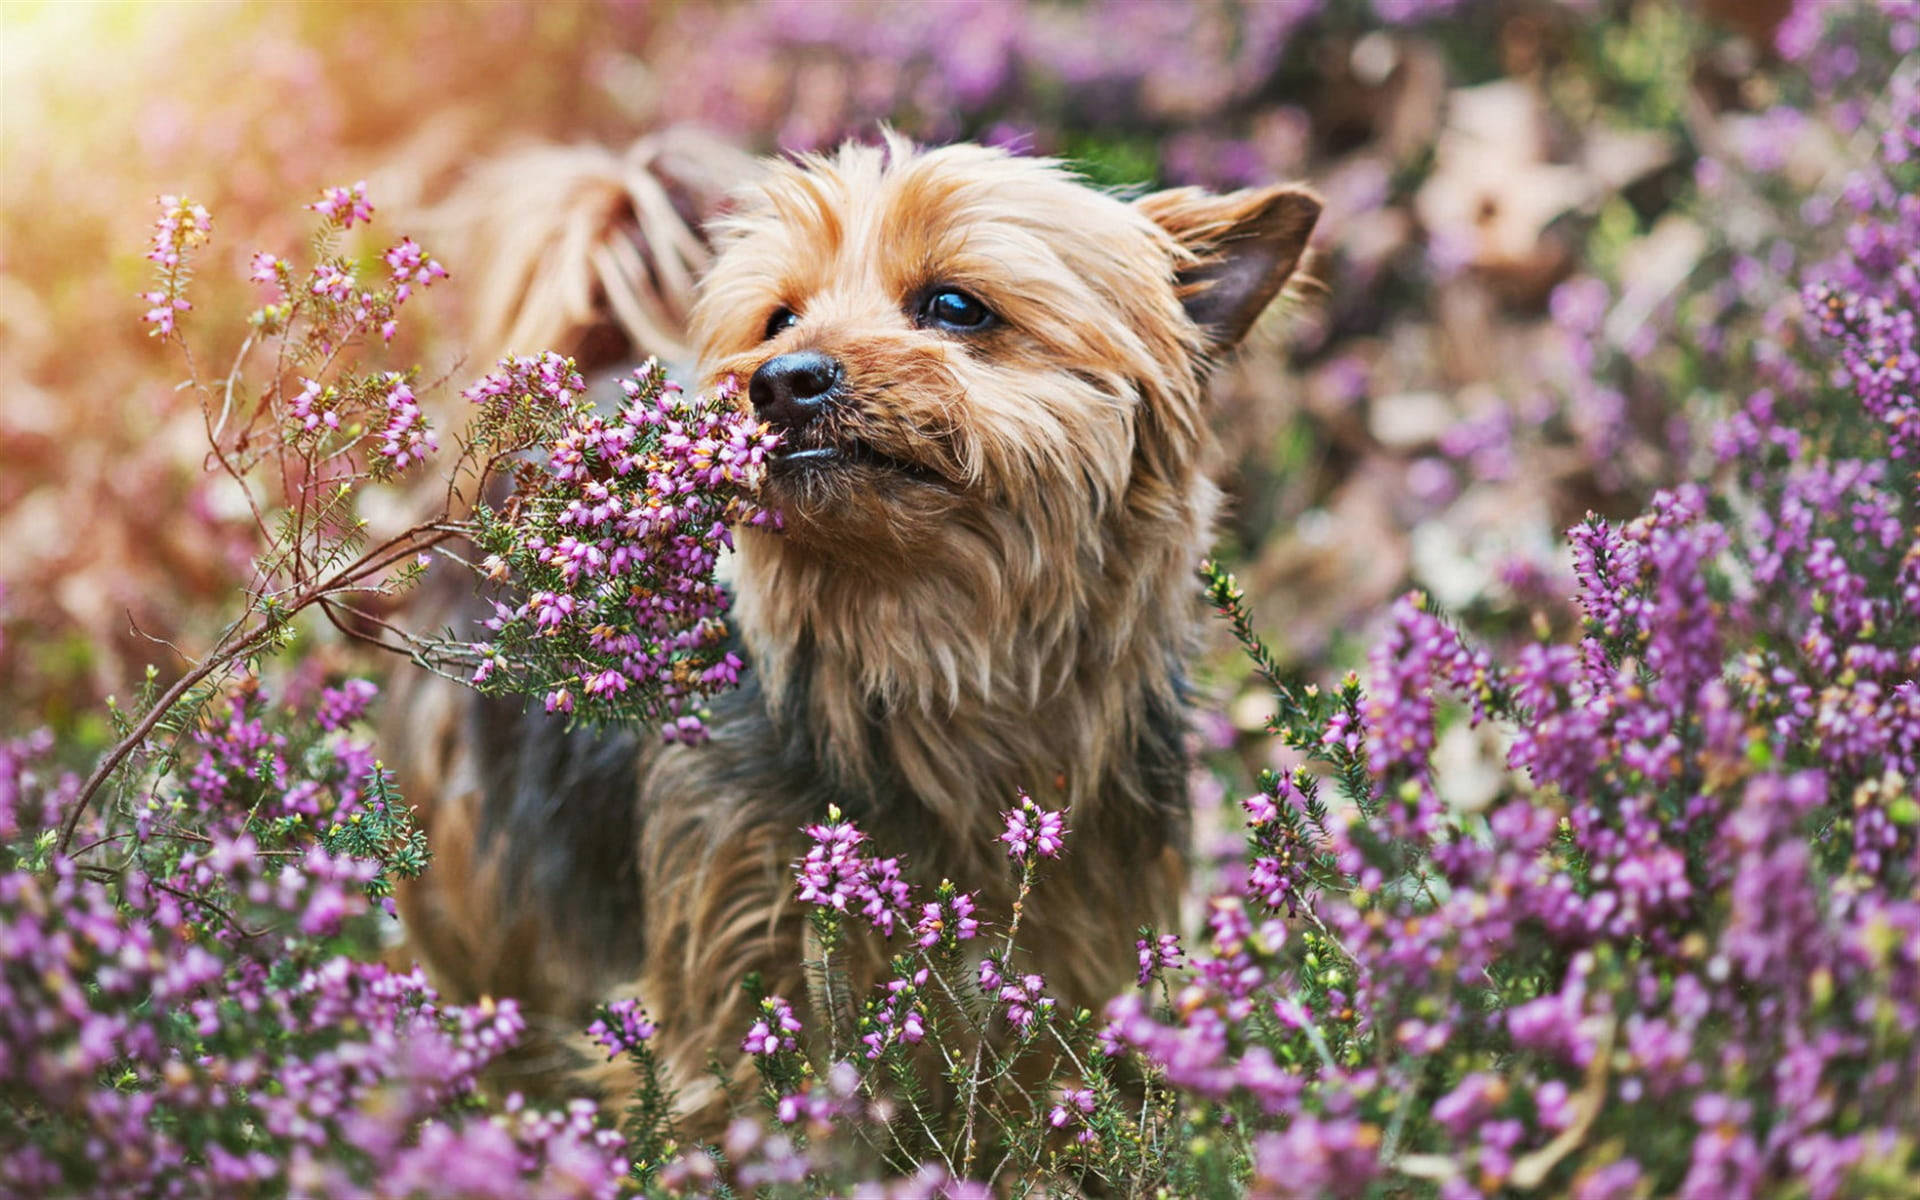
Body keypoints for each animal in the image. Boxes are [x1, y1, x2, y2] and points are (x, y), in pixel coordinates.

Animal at [389, 133, 1320, 1128]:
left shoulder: (1068, 960)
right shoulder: (736, 983)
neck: (933, 646)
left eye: (955, 306)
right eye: (777, 320)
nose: (781, 379)